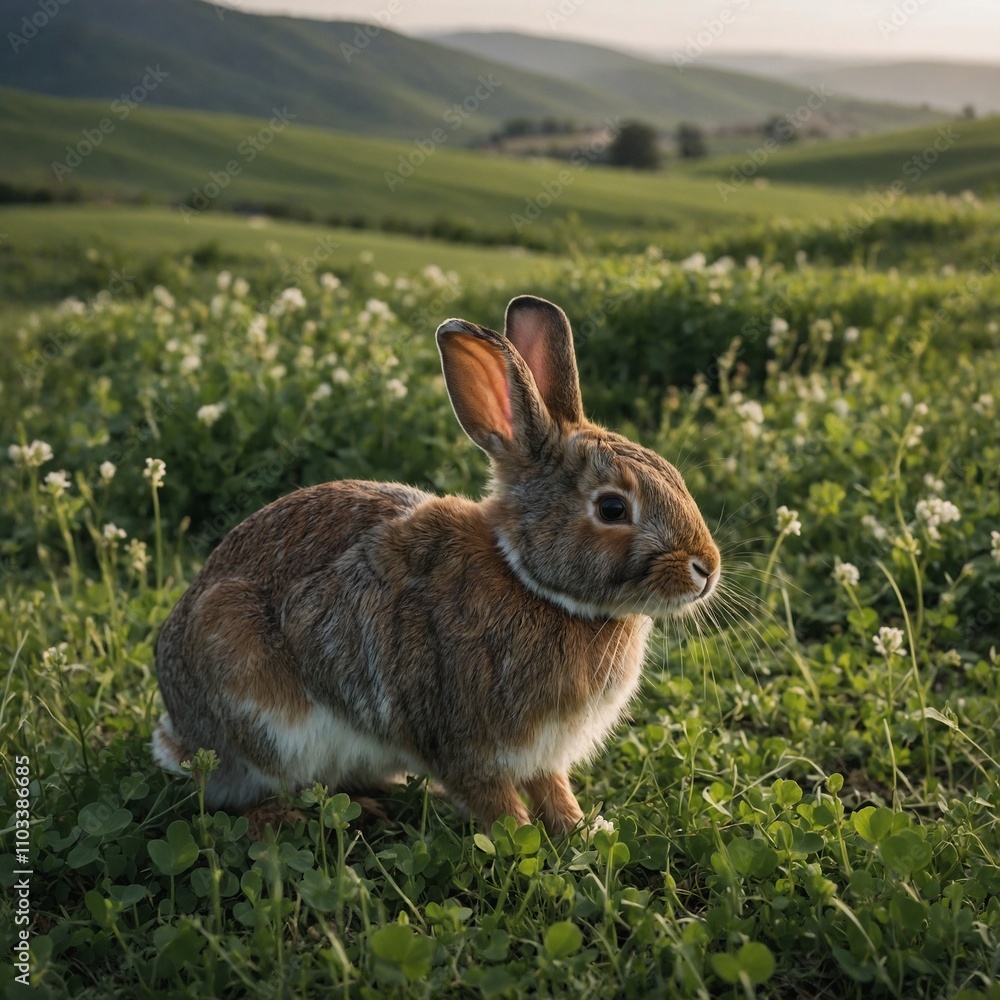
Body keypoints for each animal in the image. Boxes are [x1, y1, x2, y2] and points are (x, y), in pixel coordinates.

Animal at [152, 294, 721, 835]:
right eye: (612, 509)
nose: (707, 569)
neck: (530, 582)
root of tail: (179, 733)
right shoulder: (460, 741)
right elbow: (497, 805)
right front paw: (521, 841)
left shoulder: (542, 754)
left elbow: (554, 790)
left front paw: (583, 831)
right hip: (253, 704)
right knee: (236, 798)